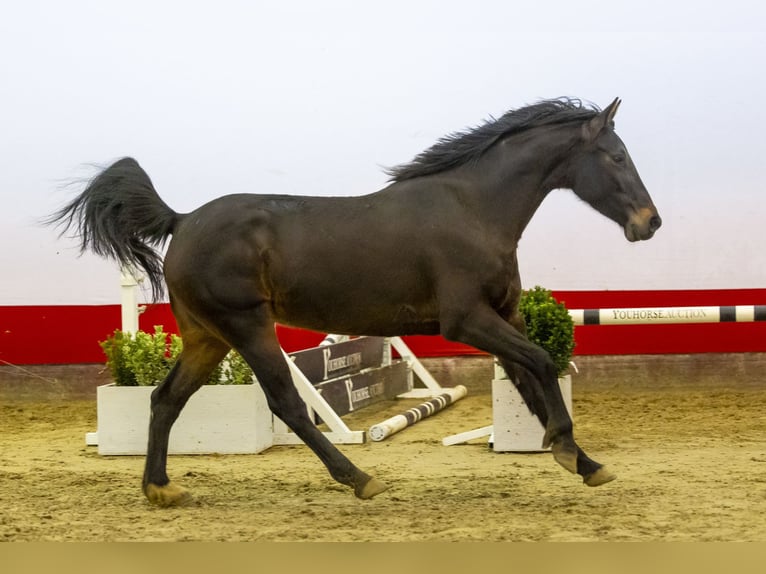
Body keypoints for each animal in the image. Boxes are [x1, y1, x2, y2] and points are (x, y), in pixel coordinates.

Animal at [49, 99, 660, 508]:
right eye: (616, 156)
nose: (649, 223)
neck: (472, 209)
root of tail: (181, 220)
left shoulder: (503, 316)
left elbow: (532, 380)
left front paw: (584, 462)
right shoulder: (468, 321)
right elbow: (539, 362)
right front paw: (562, 446)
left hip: (208, 338)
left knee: (165, 398)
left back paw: (159, 488)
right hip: (247, 327)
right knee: (287, 406)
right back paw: (360, 478)